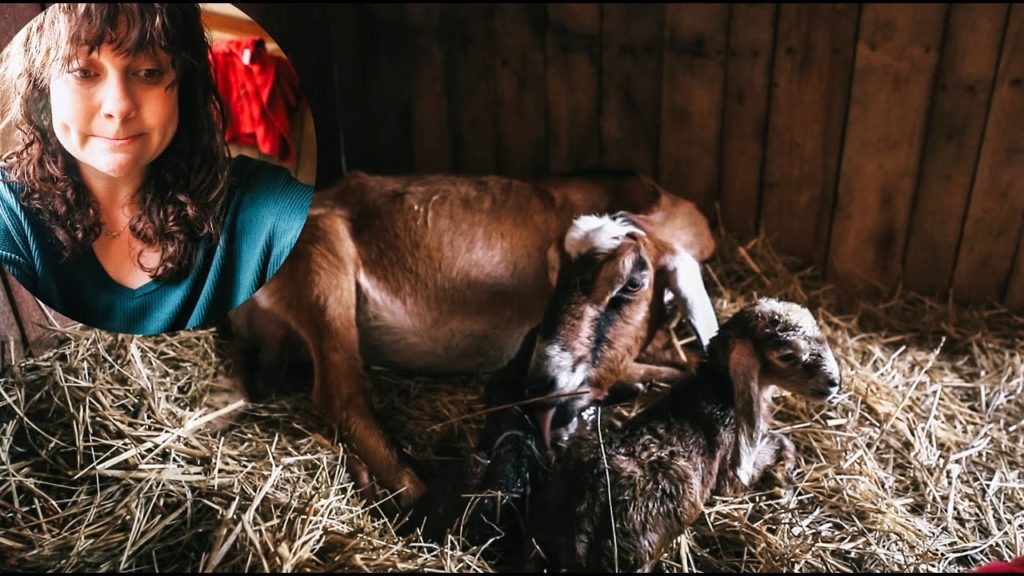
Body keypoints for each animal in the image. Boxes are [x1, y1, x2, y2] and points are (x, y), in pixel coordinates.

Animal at [231, 170, 719, 506]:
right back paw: (415, 490)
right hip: (323, 264)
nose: (541, 383)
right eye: (556, 277)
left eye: (633, 282)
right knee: (341, 392)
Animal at [529, 298, 842, 572]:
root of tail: (582, 516)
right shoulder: (731, 476)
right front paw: (784, 483)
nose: (834, 382)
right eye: (787, 355)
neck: (721, 393)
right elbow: (781, 443)